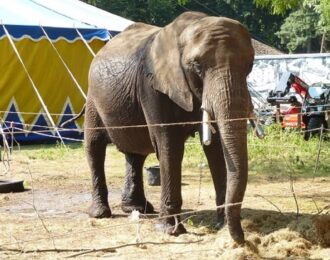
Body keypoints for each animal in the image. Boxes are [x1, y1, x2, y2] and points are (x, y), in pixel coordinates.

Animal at [85, 11, 255, 244]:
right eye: (197, 66)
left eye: (250, 64)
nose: (243, 239)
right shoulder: (152, 86)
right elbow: (169, 146)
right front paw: (170, 231)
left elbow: (216, 150)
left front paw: (221, 226)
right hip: (93, 97)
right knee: (95, 146)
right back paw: (101, 213)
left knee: (136, 154)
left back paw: (138, 209)